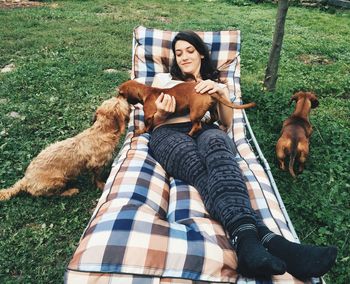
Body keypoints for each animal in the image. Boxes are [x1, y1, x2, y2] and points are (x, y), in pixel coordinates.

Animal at [0, 96, 131, 201]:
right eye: (121, 101)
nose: (124, 96)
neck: (101, 131)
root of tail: (25, 180)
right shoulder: (96, 164)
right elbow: (97, 177)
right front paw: (101, 185)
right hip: (58, 180)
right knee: (53, 195)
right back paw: (70, 191)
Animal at [116, 79, 256, 136]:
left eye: (121, 93)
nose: (116, 98)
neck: (147, 91)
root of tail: (209, 92)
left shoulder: (149, 115)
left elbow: (146, 126)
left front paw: (140, 131)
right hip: (211, 107)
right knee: (214, 117)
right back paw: (207, 121)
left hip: (194, 113)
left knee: (197, 125)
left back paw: (190, 133)